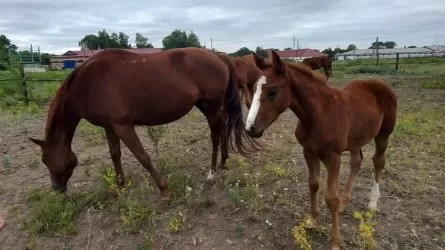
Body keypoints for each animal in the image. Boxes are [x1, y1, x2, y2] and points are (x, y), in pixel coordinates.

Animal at [27, 46, 260, 199]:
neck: (86, 85)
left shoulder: (123, 126)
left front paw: (164, 190)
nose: (56, 189)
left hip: (210, 107)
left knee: (215, 135)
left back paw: (212, 172)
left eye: (46, 160)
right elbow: (115, 154)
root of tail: (217, 56)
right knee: (223, 131)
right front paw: (120, 184)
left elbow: (143, 156)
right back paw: (224, 162)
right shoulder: (110, 126)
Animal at [246, 50, 396, 248]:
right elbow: (313, 184)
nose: (250, 128)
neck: (318, 115)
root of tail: (381, 83)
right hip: (355, 139)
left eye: (273, 91)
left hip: (383, 134)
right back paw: (345, 203)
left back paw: (372, 202)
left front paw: (335, 242)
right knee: (357, 161)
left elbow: (331, 197)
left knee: (378, 161)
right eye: (254, 88)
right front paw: (312, 220)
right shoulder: (308, 152)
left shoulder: (333, 156)